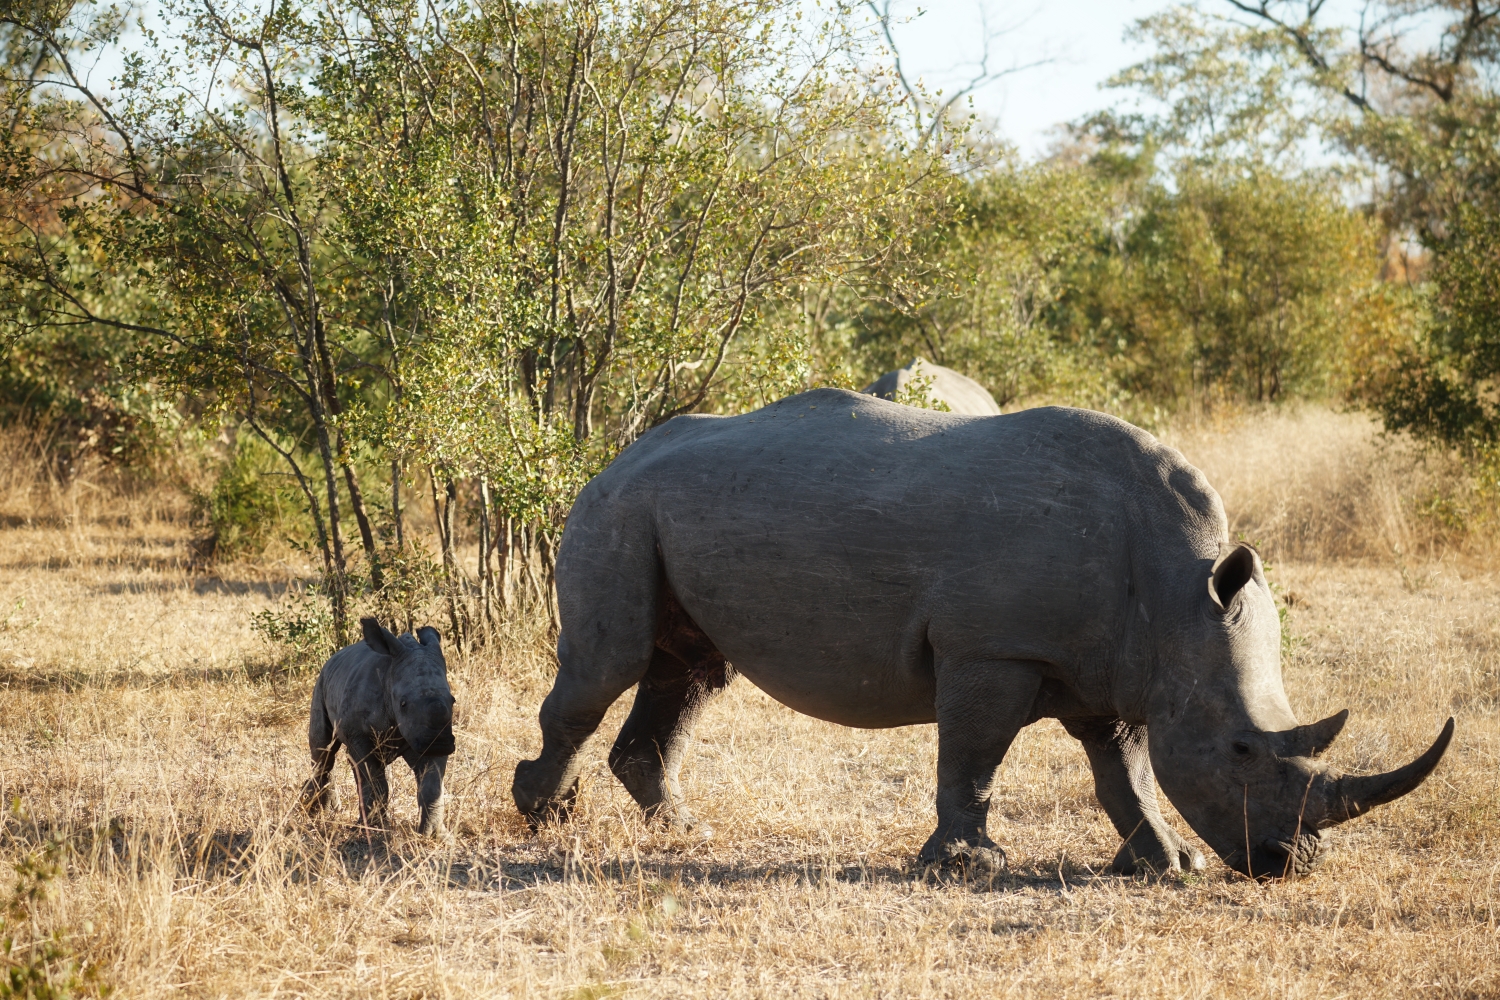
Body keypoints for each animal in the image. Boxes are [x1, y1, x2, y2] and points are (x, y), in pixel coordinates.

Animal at [298, 617, 450, 839]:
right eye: (403, 704)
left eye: (453, 701)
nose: (440, 745)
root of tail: (333, 658)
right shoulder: (359, 735)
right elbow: (375, 781)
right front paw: (373, 829)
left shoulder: (428, 733)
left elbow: (431, 786)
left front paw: (435, 835)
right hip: (320, 683)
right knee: (324, 751)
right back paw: (317, 810)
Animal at [516, 386, 1452, 881]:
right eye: (1243, 752)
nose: (1293, 862)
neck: (1180, 594)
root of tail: (614, 457)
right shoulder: (994, 648)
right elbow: (973, 753)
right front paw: (970, 865)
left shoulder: (1118, 665)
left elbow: (1126, 774)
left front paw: (1167, 864)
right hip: (617, 511)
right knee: (610, 664)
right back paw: (546, 816)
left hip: (666, 510)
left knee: (691, 671)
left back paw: (680, 832)